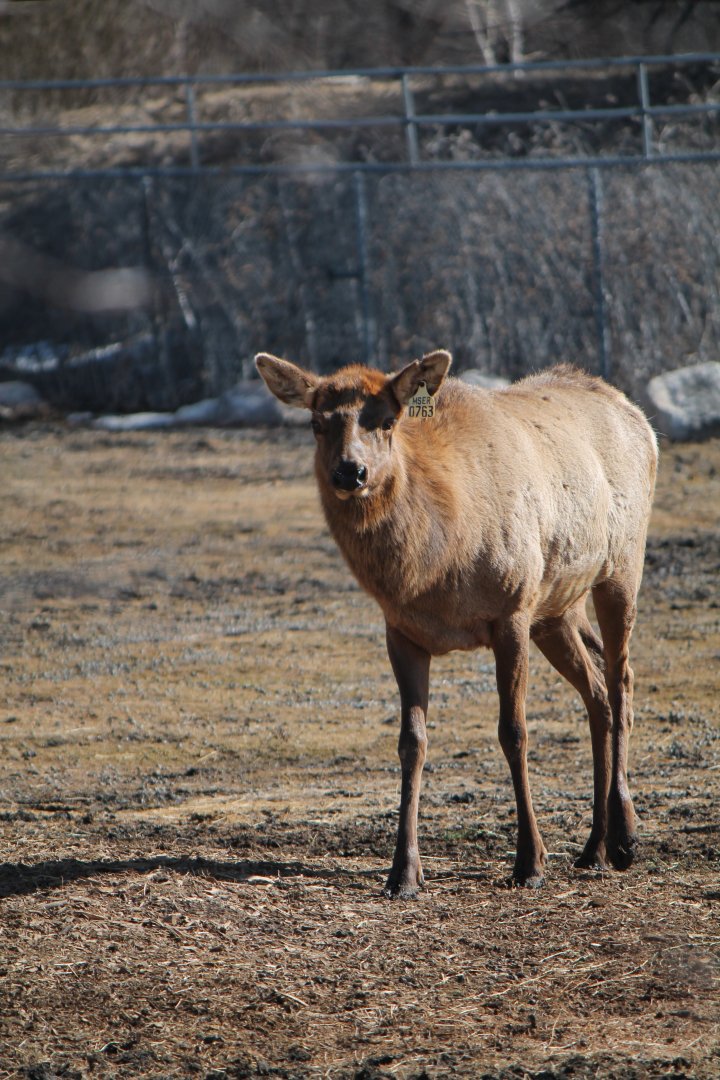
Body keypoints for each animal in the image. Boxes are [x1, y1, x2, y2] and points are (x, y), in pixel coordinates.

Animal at [255, 349, 658, 898]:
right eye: (317, 423)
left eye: (387, 420)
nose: (350, 472)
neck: (435, 563)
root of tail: (639, 417)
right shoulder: (402, 631)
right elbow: (411, 743)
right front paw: (403, 872)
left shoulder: (512, 610)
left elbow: (514, 731)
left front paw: (530, 861)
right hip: (555, 608)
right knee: (597, 691)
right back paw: (593, 846)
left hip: (619, 566)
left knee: (621, 680)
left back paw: (624, 838)